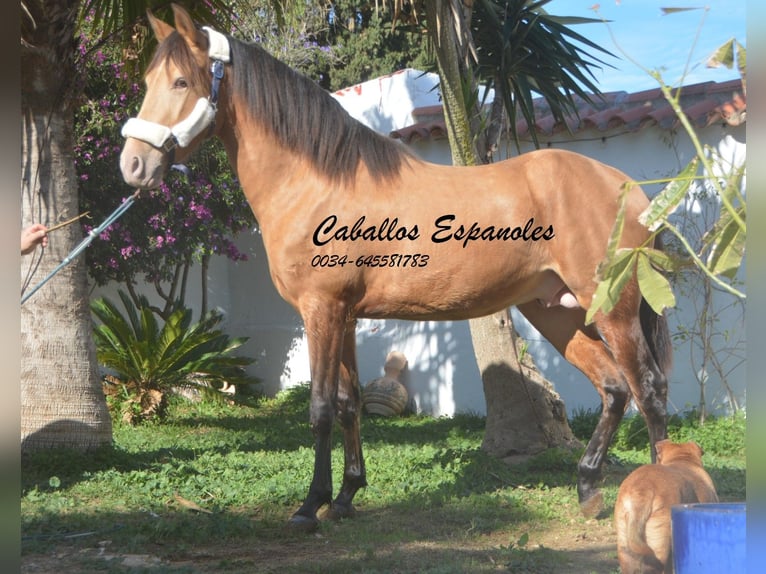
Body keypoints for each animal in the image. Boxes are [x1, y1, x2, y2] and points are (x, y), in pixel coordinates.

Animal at [118, 3, 672, 532]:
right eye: (146, 80)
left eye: (181, 82)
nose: (132, 166)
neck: (318, 182)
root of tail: (627, 186)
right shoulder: (343, 316)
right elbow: (348, 402)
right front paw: (346, 497)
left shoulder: (320, 310)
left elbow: (320, 408)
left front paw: (310, 506)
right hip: (556, 310)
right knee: (614, 387)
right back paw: (588, 488)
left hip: (614, 311)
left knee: (648, 388)